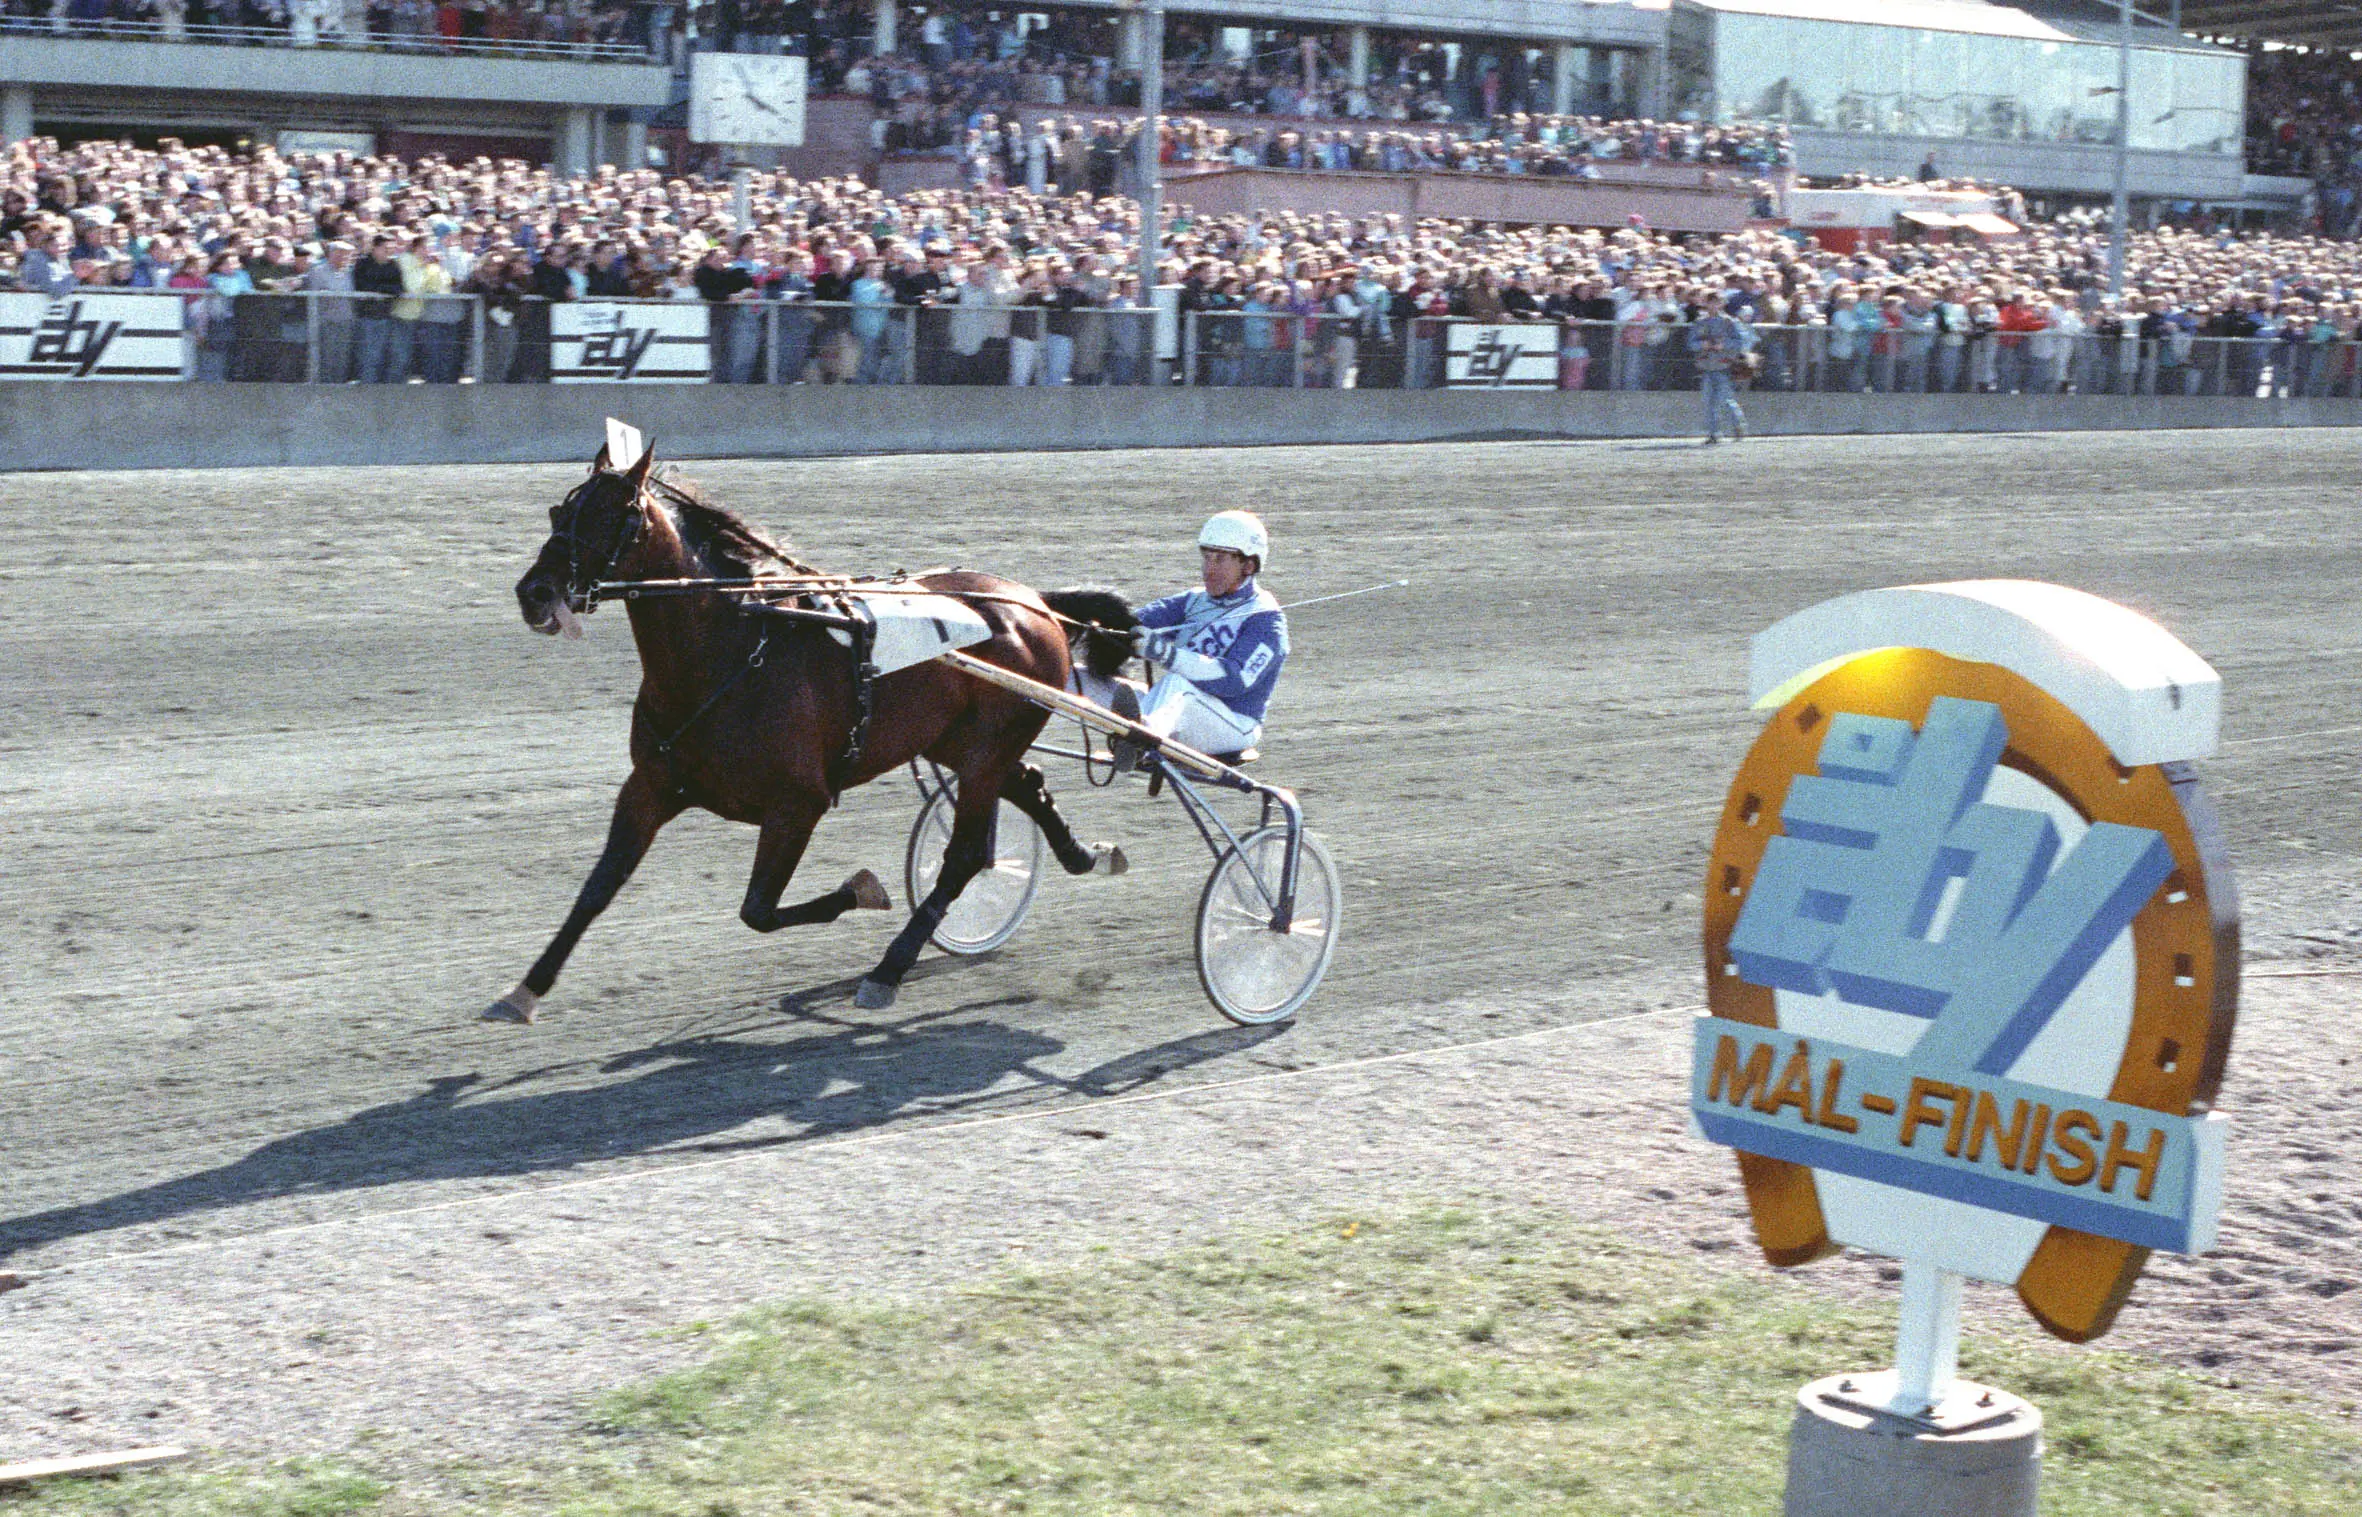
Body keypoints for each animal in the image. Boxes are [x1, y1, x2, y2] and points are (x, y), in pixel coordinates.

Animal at [488, 444, 1133, 1020]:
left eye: (614, 515)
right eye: (560, 511)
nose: (534, 593)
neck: (731, 655)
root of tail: (1033, 602)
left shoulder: (798, 803)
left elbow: (758, 910)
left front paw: (864, 889)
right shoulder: (649, 786)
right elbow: (598, 886)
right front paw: (523, 991)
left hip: (985, 748)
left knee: (968, 852)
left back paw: (888, 970)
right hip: (959, 741)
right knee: (1027, 784)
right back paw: (1085, 855)